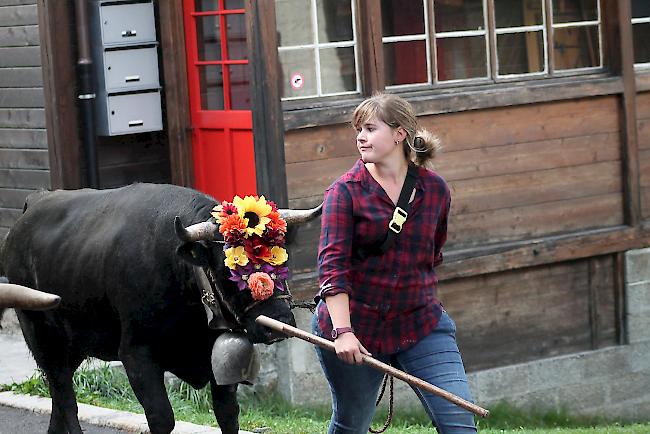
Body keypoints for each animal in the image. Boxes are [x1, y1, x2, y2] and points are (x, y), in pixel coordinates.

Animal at [1, 183, 320, 434]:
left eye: (281, 257)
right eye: (229, 265)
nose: (278, 321)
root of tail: (37, 200)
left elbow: (228, 414)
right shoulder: (136, 354)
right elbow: (162, 417)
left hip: (73, 344)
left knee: (58, 395)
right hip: (41, 335)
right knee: (65, 397)